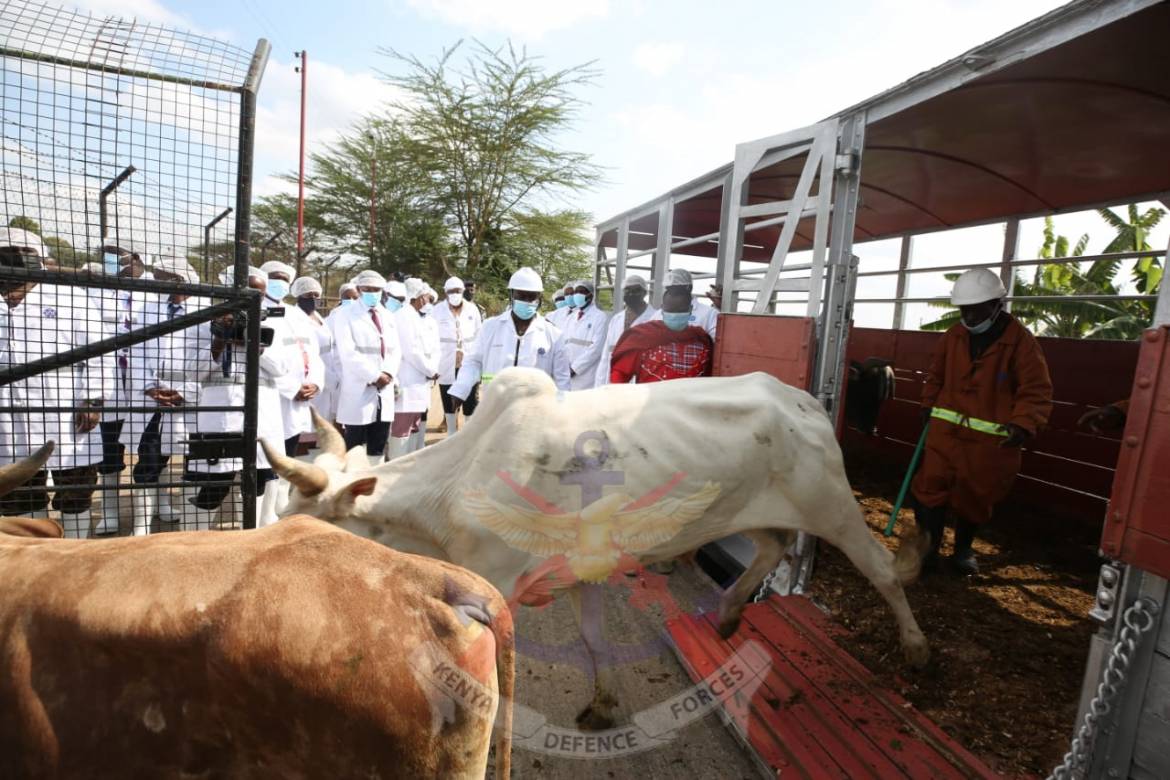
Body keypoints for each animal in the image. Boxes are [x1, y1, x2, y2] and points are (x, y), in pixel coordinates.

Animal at [263, 368, 931, 731]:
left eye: (307, 529)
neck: (452, 488)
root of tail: (805, 400)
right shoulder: (577, 572)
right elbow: (592, 640)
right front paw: (605, 704)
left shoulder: (497, 588)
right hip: (751, 511)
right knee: (770, 547)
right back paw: (728, 611)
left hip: (831, 504)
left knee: (880, 569)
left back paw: (915, 646)